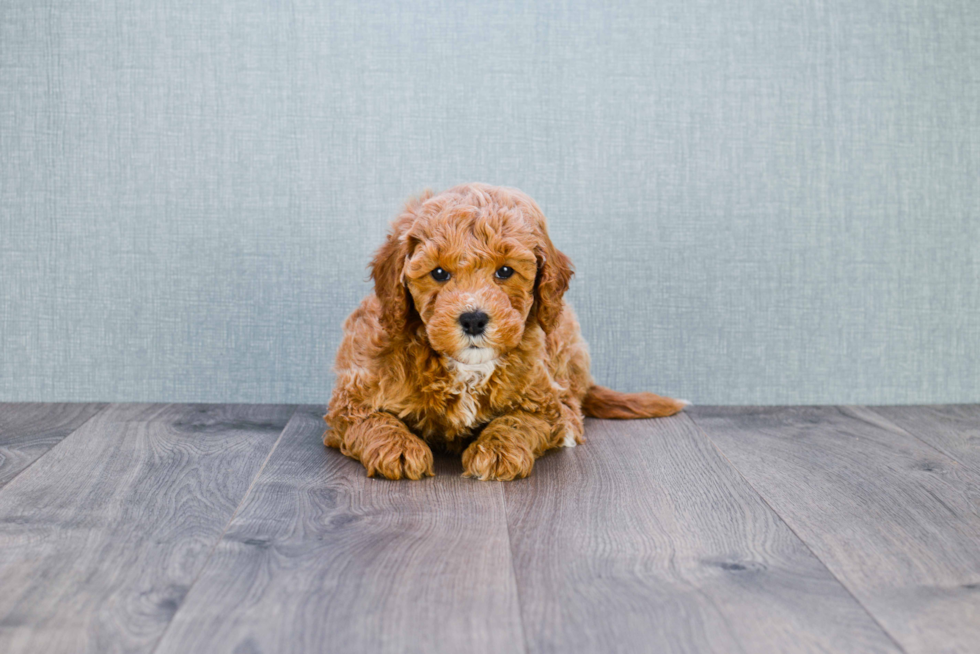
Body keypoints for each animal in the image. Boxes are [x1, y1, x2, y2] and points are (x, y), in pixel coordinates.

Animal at [326, 184, 684, 482]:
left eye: (505, 271)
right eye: (439, 273)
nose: (473, 319)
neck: (466, 368)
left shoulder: (543, 403)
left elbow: (517, 421)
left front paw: (497, 451)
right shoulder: (351, 398)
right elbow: (374, 420)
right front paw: (399, 448)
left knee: (572, 408)